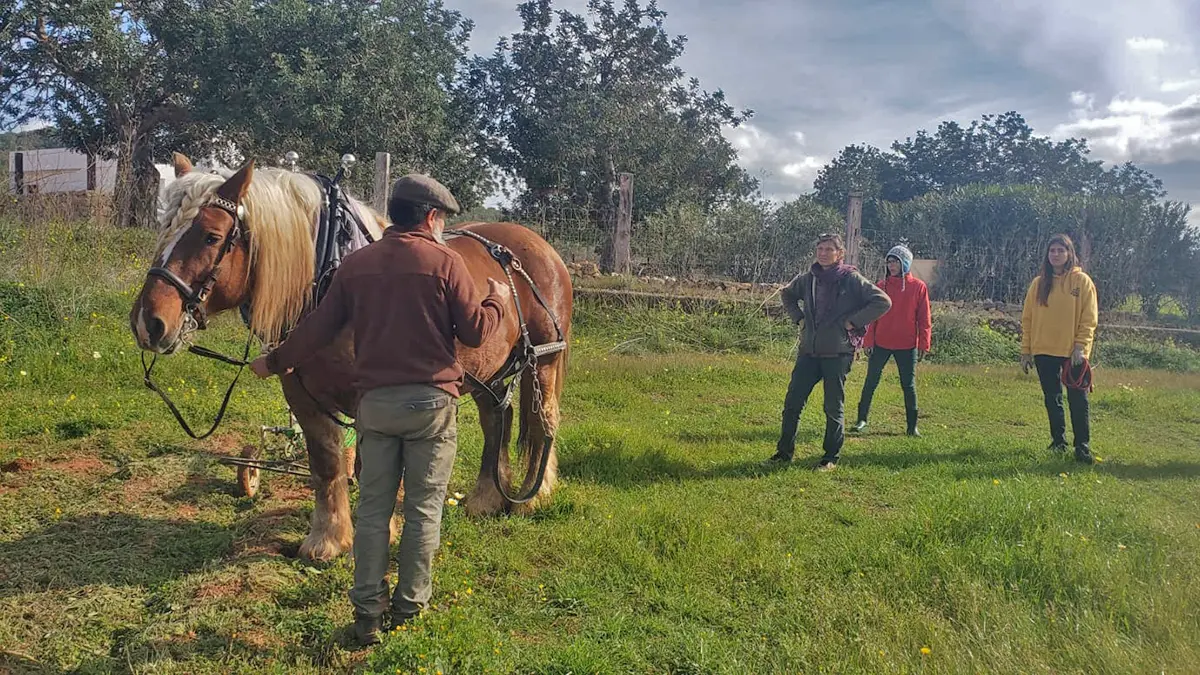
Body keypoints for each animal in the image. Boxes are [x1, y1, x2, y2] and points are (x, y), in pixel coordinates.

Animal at [129, 153, 572, 562]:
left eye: (210, 236)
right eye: (164, 226)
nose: (148, 322)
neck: (331, 278)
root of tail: (537, 245)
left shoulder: (375, 399)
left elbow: (369, 467)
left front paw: (379, 536)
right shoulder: (303, 397)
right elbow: (327, 464)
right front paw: (327, 540)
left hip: (543, 361)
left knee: (544, 420)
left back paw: (533, 496)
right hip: (488, 370)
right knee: (497, 418)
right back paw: (486, 498)